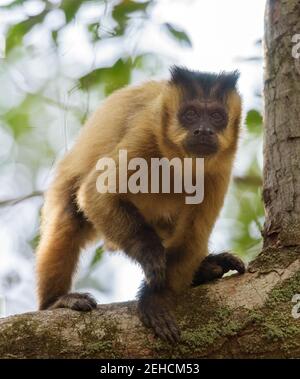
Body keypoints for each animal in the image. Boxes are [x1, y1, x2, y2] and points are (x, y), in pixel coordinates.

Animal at [36, 67, 245, 342]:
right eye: (190, 114)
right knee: (69, 217)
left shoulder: (219, 171)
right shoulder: (147, 131)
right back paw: (55, 301)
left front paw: (155, 298)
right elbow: (97, 194)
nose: (204, 130)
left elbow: (192, 237)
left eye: (217, 117)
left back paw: (204, 270)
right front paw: (149, 253)